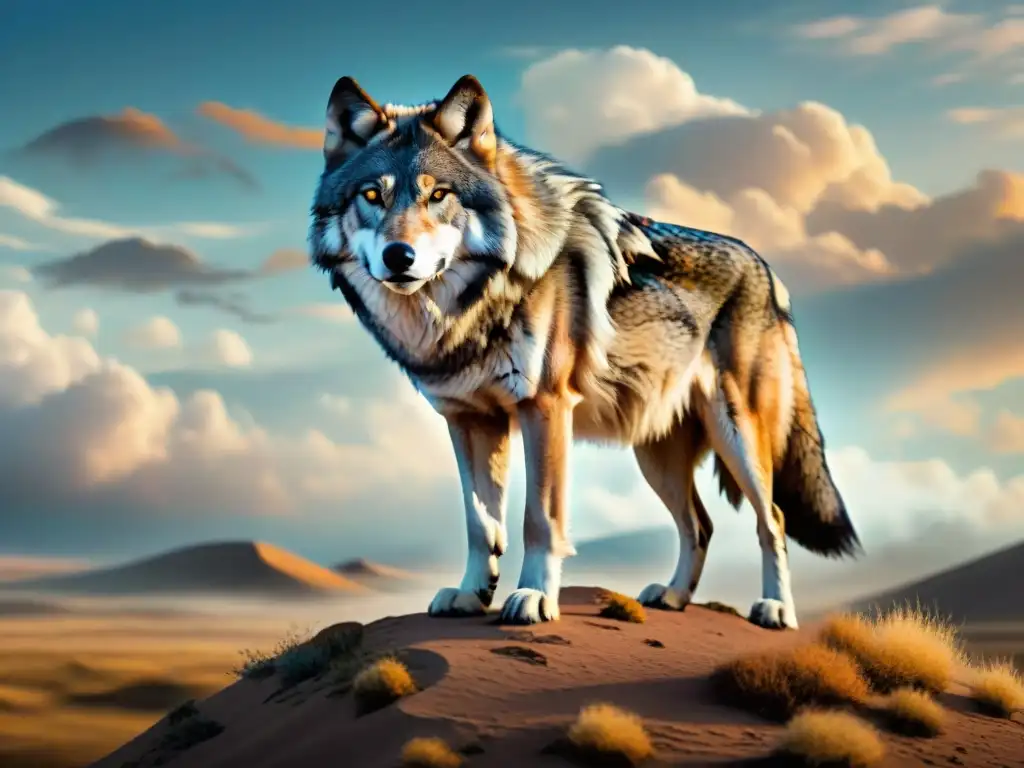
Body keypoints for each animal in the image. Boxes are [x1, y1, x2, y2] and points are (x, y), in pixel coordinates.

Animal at [309, 74, 861, 629]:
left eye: (438, 195)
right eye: (372, 195)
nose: (398, 257)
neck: (468, 312)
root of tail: (767, 270)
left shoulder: (545, 408)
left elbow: (538, 518)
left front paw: (534, 597)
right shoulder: (469, 421)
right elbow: (479, 523)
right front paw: (470, 594)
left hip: (738, 436)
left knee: (774, 519)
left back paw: (775, 609)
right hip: (655, 454)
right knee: (699, 525)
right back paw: (673, 596)